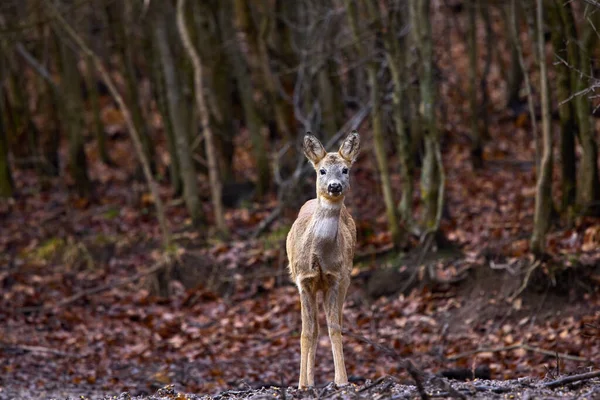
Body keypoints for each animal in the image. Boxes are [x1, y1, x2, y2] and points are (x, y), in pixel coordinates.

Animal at [286, 131, 360, 388]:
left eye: (345, 169)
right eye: (322, 171)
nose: (334, 186)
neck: (317, 256)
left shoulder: (335, 278)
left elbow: (334, 328)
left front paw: (342, 380)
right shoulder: (303, 280)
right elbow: (306, 332)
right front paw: (301, 384)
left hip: (346, 278)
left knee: (334, 322)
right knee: (315, 329)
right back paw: (309, 381)